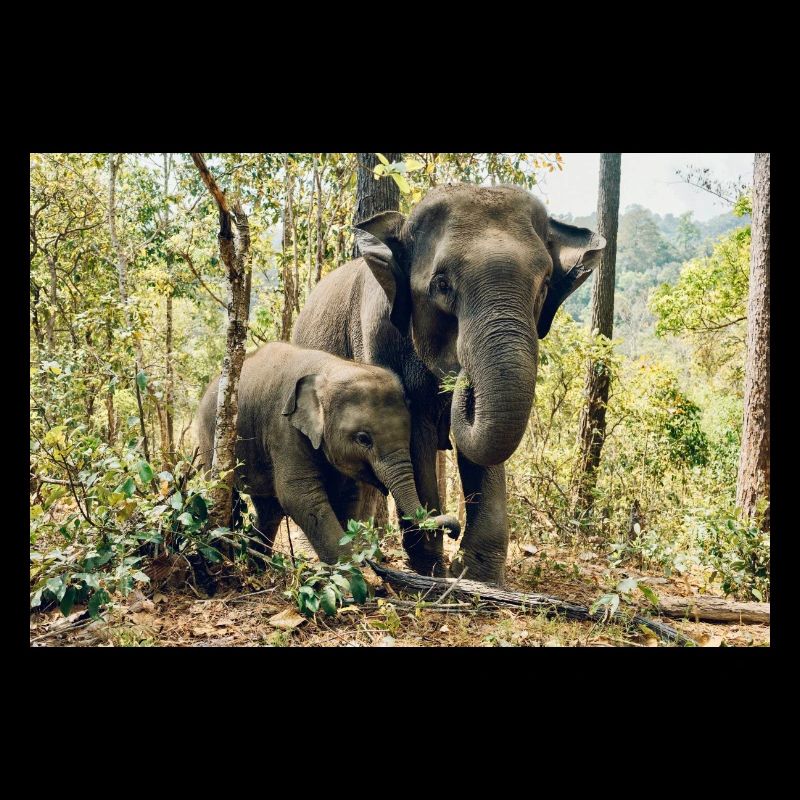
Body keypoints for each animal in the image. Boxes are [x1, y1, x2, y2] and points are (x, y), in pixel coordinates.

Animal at [196, 341, 460, 566]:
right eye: (363, 439)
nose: (454, 531)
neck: (330, 369)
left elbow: (347, 496)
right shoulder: (284, 429)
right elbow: (300, 496)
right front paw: (355, 578)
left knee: (269, 509)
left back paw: (259, 566)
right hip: (210, 437)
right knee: (226, 493)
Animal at [292, 183, 605, 584]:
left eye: (545, 286)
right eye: (441, 285)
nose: (462, 377)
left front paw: (477, 576)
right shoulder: (378, 336)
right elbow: (415, 434)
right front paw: (432, 569)